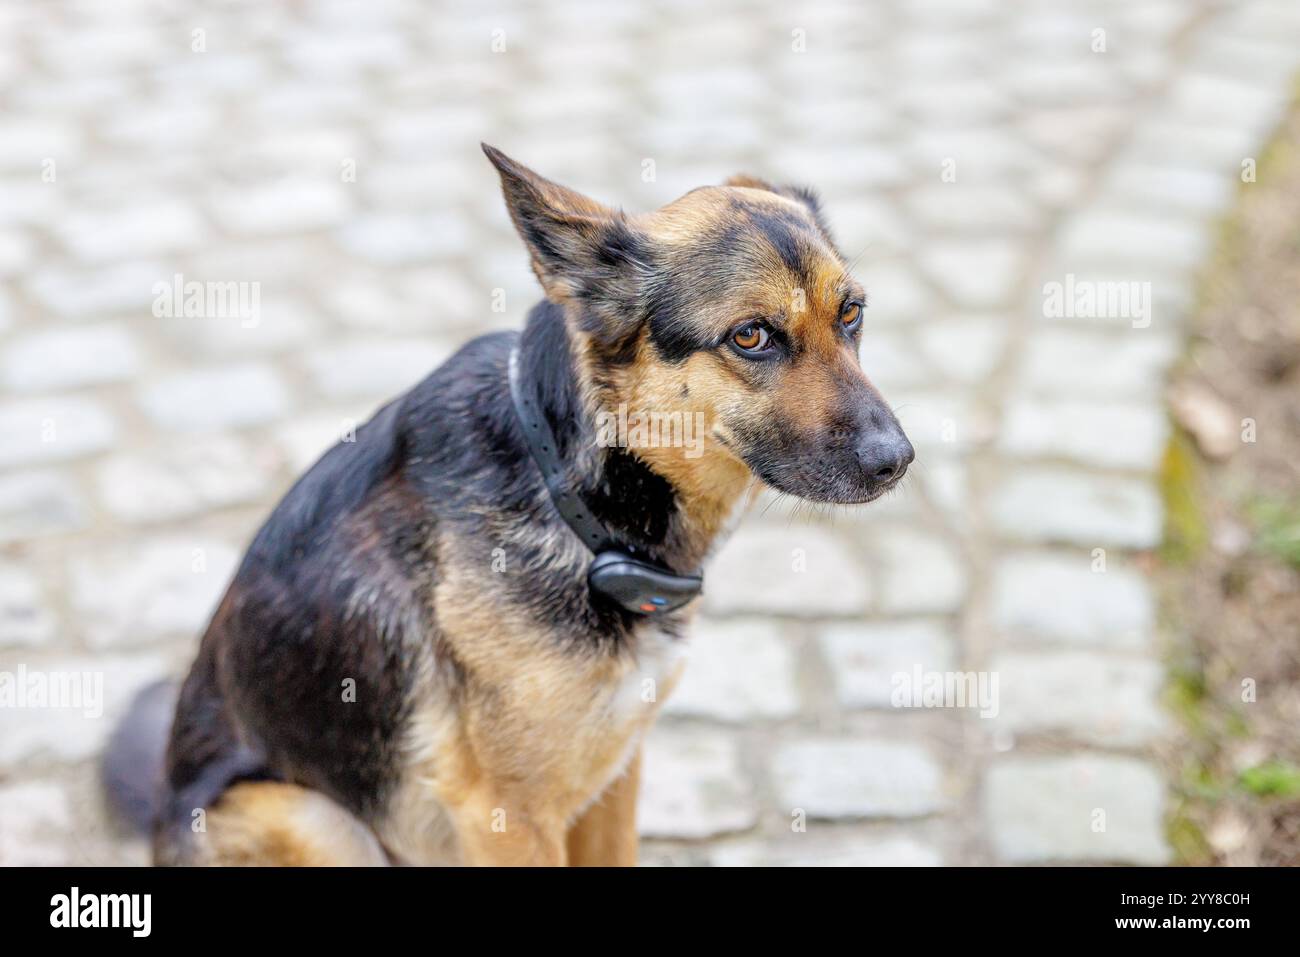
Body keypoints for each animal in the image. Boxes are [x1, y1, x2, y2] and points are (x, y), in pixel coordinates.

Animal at [104, 143, 915, 868]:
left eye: (852, 314)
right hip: (313, 818)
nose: (897, 460)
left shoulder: (617, 768)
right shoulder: (507, 817)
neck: (575, 498)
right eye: (750, 336)